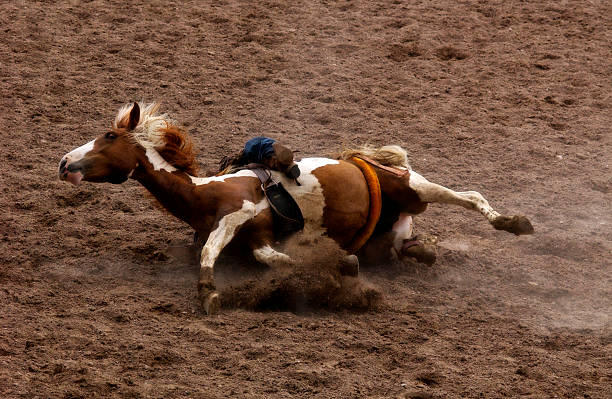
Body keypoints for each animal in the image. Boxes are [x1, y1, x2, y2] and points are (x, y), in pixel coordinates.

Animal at [58, 103, 536, 316]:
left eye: (108, 137)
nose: (64, 163)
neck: (203, 195)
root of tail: (363, 158)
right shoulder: (254, 239)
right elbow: (275, 259)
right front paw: (337, 266)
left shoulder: (239, 216)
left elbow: (217, 251)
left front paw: (208, 293)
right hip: (391, 233)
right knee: (411, 245)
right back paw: (423, 249)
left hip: (413, 187)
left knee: (471, 195)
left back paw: (515, 222)